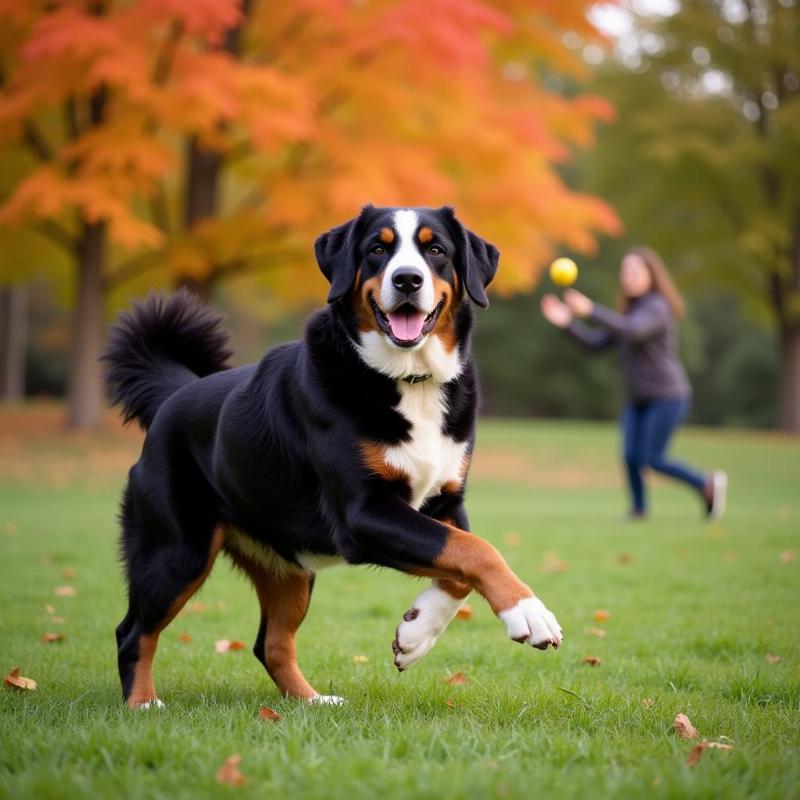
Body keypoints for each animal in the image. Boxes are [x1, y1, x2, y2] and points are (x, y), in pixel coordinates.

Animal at [103, 205, 560, 708]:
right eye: (378, 249)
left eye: (436, 249)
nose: (406, 279)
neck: (410, 381)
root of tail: (174, 392)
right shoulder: (363, 513)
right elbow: (476, 551)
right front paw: (529, 614)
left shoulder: (445, 500)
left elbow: (462, 561)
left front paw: (415, 633)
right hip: (176, 551)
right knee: (133, 632)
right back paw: (143, 703)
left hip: (289, 564)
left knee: (271, 643)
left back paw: (311, 701)